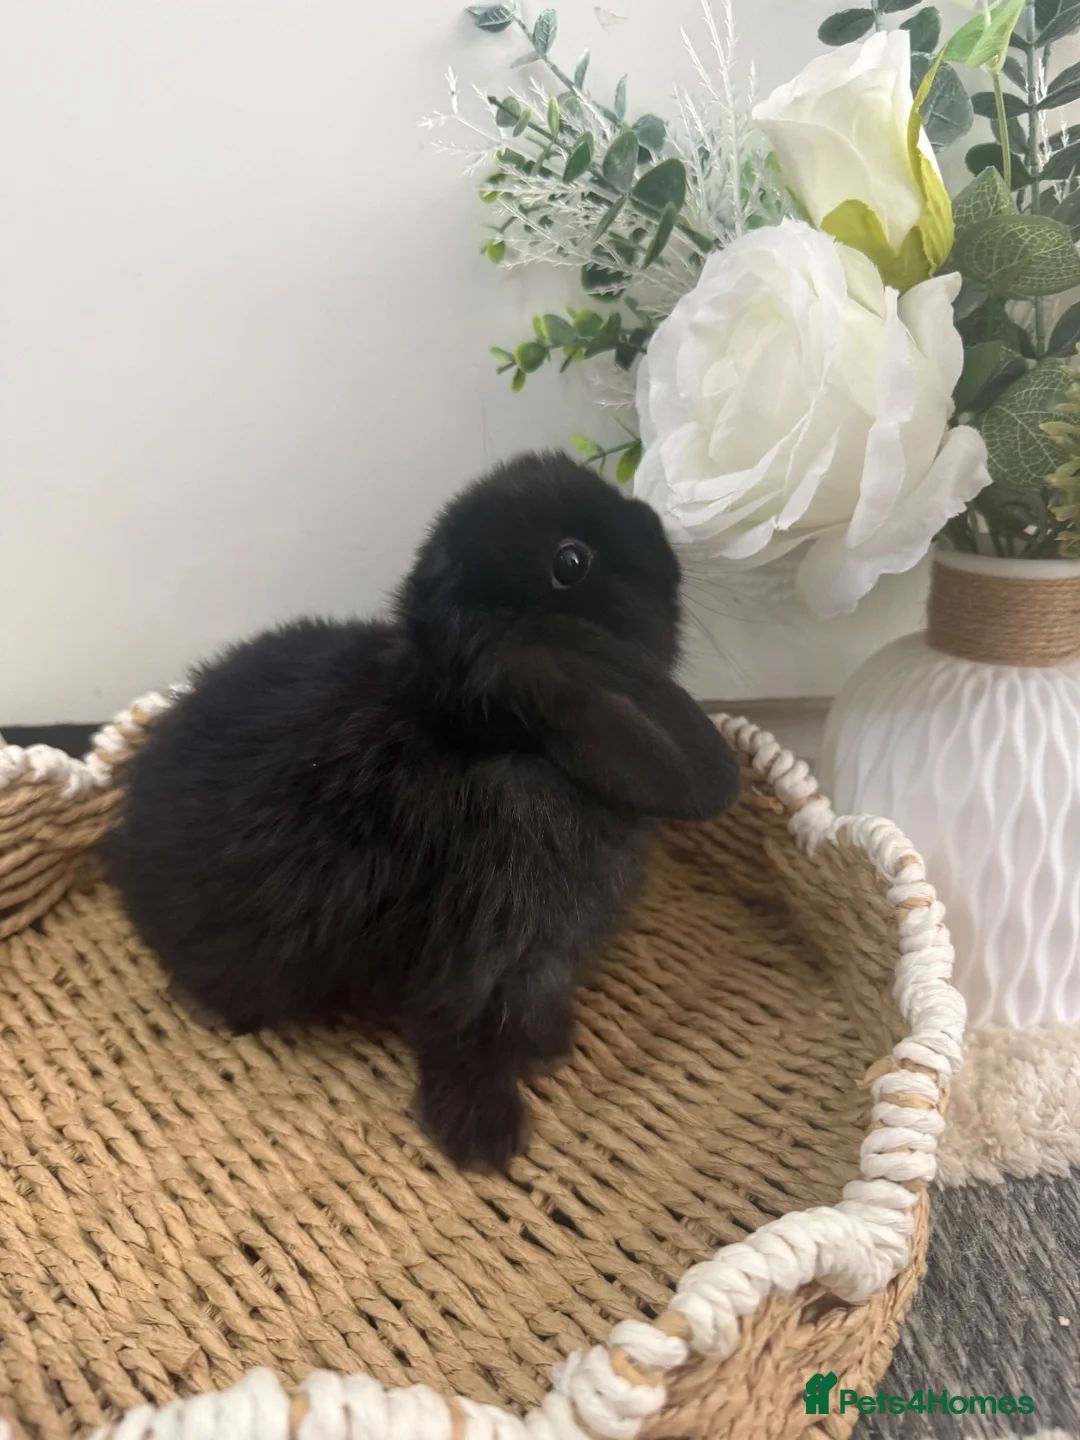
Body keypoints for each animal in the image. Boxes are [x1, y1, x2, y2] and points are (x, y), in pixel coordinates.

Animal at [104, 451, 742, 1171]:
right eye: (571, 561)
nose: (656, 525)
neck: (491, 740)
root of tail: (123, 834)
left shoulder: (538, 960)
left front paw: (545, 1053)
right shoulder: (480, 952)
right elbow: (456, 1035)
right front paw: (484, 1137)